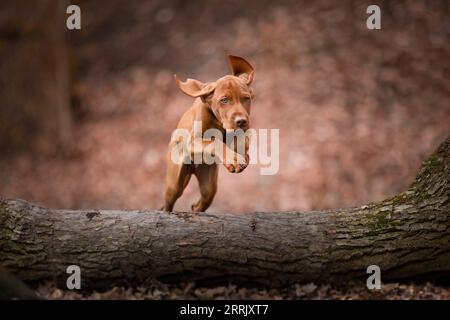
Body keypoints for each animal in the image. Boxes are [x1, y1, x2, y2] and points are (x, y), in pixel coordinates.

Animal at [163, 55, 255, 212]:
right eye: (224, 100)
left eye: (246, 98)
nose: (241, 121)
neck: (218, 122)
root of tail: (193, 169)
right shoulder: (192, 142)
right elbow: (214, 141)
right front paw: (233, 159)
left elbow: (243, 139)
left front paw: (240, 154)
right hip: (174, 182)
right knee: (169, 200)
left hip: (208, 179)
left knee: (205, 197)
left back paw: (195, 207)